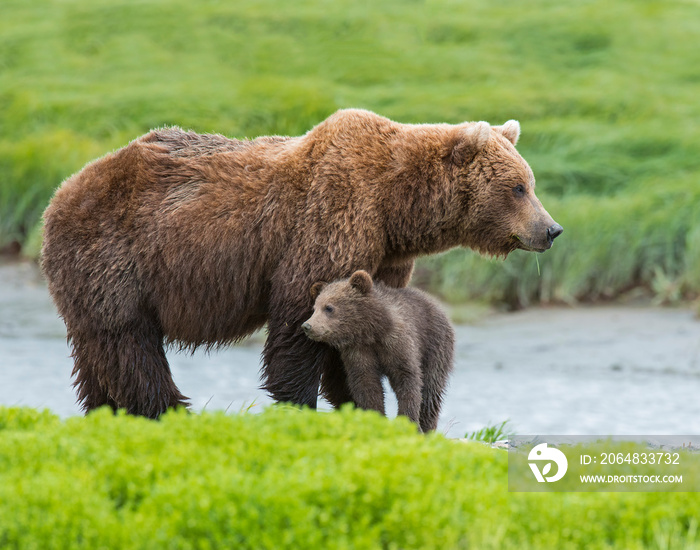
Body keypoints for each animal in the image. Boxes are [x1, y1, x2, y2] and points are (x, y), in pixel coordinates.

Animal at [41, 109, 560, 418]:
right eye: (518, 186)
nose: (551, 230)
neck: (396, 208)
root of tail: (61, 192)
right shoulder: (330, 219)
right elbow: (299, 319)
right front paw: (300, 403)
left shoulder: (384, 257)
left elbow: (359, 324)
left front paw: (356, 404)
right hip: (115, 260)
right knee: (129, 344)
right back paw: (169, 409)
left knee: (95, 356)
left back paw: (104, 411)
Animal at [300, 272, 454, 436]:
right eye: (314, 308)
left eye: (328, 307)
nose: (307, 326)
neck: (372, 331)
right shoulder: (358, 351)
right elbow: (366, 383)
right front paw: (377, 418)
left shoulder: (398, 343)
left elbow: (408, 379)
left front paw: (408, 421)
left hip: (436, 346)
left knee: (431, 388)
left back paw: (428, 427)